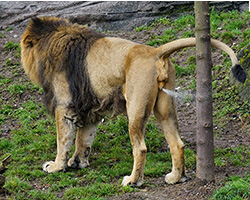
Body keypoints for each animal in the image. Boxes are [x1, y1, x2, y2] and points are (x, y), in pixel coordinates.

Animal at [20, 16, 247, 187]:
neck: (52, 40)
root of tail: (155, 52)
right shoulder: (90, 108)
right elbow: (83, 139)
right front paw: (78, 162)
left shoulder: (65, 106)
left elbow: (64, 140)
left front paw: (56, 166)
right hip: (165, 108)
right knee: (177, 143)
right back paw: (176, 178)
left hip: (135, 107)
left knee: (140, 148)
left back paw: (133, 181)